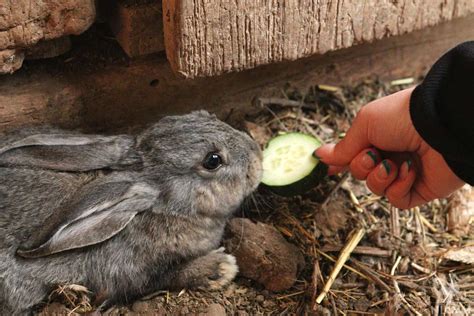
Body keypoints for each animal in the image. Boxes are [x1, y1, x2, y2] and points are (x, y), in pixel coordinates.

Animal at [0, 110, 262, 314]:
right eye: (213, 160)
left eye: (205, 114)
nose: (257, 155)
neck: (164, 209)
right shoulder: (131, 274)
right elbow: (168, 276)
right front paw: (220, 268)